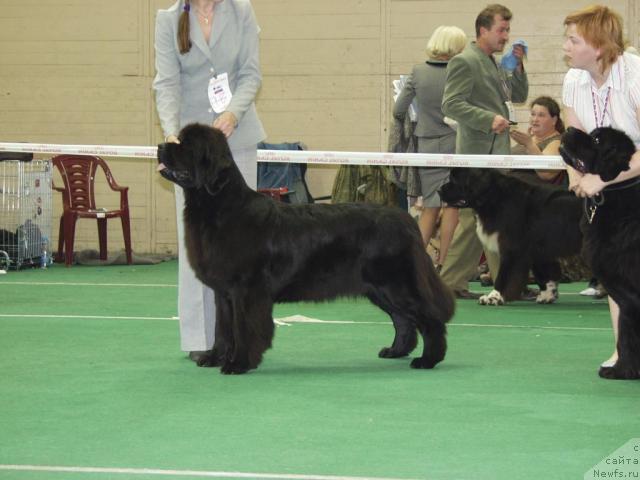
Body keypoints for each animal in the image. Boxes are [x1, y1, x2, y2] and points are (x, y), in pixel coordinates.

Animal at [157, 124, 452, 376]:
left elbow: (243, 328)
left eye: (186, 145)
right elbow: (222, 328)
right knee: (403, 320)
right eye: (177, 139)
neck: (220, 206)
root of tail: (406, 220)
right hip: (380, 288)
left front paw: (238, 363)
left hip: (396, 283)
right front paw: (214, 357)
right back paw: (396, 351)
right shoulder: (224, 293)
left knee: (428, 318)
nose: (160, 145)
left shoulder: (245, 290)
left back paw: (428, 359)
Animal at [440, 168, 584, 304]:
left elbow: (504, 275)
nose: (439, 190)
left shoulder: (512, 248)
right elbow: (545, 273)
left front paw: (493, 297)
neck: (493, 196)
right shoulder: (538, 249)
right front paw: (547, 295)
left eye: (454, 180)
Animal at [560, 125, 640, 380]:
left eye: (596, 140)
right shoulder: (627, 298)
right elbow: (626, 334)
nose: (569, 127)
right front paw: (623, 369)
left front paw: (622, 370)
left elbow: (628, 333)